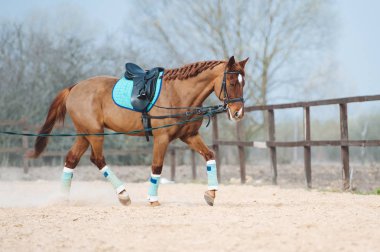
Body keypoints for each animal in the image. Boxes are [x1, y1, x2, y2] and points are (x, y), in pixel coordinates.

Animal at [30, 56, 249, 206]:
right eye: (231, 83)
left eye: (243, 83)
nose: (238, 113)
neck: (178, 94)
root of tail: (74, 88)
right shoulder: (162, 138)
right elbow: (157, 167)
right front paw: (153, 199)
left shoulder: (189, 136)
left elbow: (209, 156)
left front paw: (211, 194)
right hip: (94, 133)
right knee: (97, 159)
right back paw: (123, 194)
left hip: (85, 134)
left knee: (71, 159)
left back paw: (62, 199)